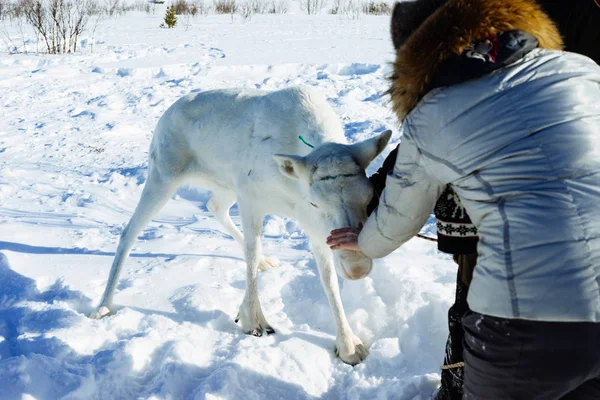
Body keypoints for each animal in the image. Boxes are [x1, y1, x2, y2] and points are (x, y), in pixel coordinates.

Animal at [92, 87, 394, 366]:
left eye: (369, 197)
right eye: (315, 203)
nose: (357, 269)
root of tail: (166, 113)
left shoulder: (313, 227)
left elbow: (328, 280)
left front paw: (348, 344)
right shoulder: (253, 199)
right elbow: (251, 252)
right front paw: (253, 319)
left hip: (224, 185)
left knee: (213, 205)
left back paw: (265, 261)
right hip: (163, 176)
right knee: (129, 231)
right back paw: (104, 305)